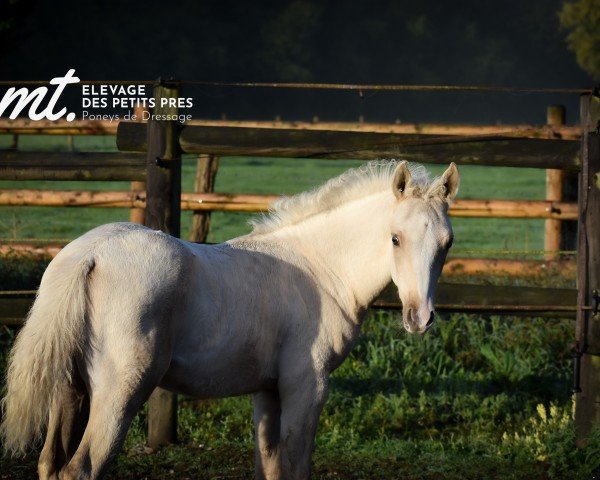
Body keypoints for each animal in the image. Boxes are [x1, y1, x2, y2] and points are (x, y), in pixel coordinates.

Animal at [0, 159, 460, 478]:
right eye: (395, 238)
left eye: (447, 243)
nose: (419, 318)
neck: (319, 268)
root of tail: (90, 255)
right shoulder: (307, 386)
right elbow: (295, 466)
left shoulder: (268, 391)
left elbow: (269, 466)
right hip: (120, 393)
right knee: (81, 467)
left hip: (69, 392)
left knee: (50, 465)